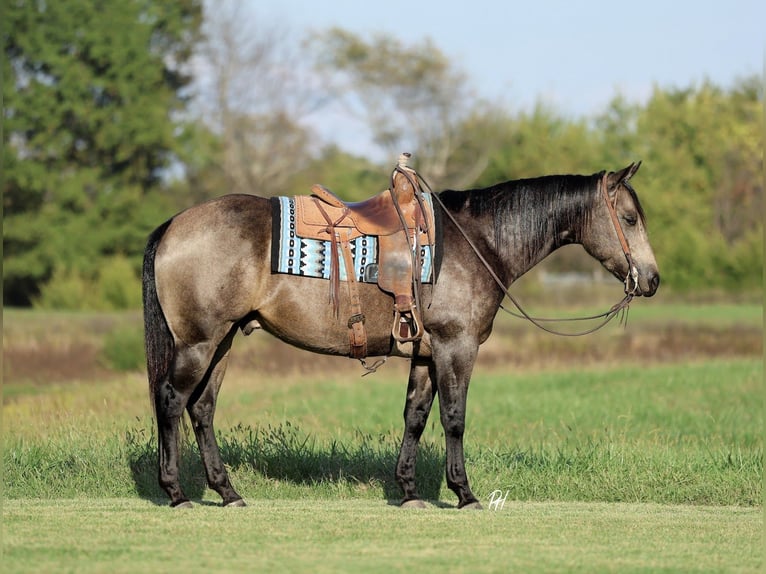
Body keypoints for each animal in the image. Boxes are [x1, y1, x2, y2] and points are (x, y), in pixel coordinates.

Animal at [142, 162, 659, 509]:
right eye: (630, 218)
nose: (652, 280)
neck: (477, 240)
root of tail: (174, 225)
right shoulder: (456, 347)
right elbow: (454, 418)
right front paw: (464, 492)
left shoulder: (427, 354)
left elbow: (415, 416)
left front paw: (409, 490)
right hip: (199, 342)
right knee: (171, 400)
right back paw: (176, 492)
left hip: (222, 340)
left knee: (202, 409)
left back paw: (227, 491)